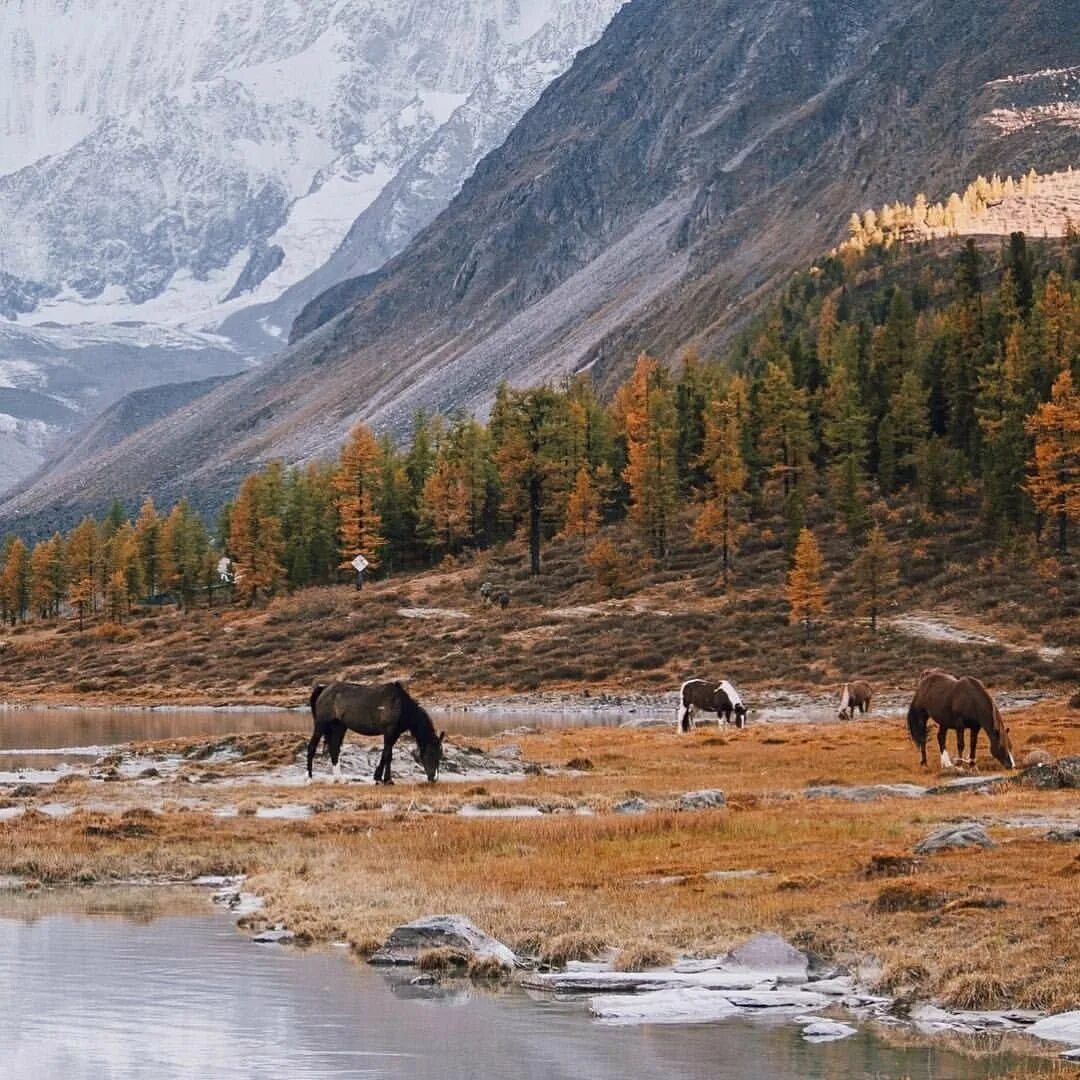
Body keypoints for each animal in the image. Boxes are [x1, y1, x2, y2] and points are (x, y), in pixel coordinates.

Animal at [306, 682, 444, 786]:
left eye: (440, 754)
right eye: (431, 753)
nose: (433, 778)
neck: (400, 704)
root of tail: (324, 689)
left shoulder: (394, 734)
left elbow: (387, 755)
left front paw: (385, 779)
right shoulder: (389, 732)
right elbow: (387, 754)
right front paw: (381, 779)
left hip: (339, 727)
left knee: (334, 749)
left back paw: (340, 779)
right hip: (321, 724)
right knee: (312, 747)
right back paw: (309, 778)